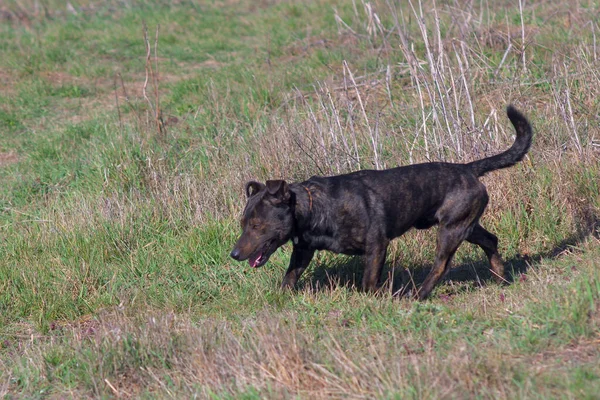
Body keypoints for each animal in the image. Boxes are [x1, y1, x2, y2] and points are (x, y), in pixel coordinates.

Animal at [231, 104, 536, 298]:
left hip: (451, 230)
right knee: (491, 240)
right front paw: (280, 299)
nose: (234, 254)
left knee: (441, 264)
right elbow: (290, 277)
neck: (313, 207)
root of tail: (469, 169)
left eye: (257, 226)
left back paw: (418, 294)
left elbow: (368, 282)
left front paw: (378, 298)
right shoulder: (303, 250)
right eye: (243, 223)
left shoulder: (377, 245)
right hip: (466, 224)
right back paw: (500, 278)